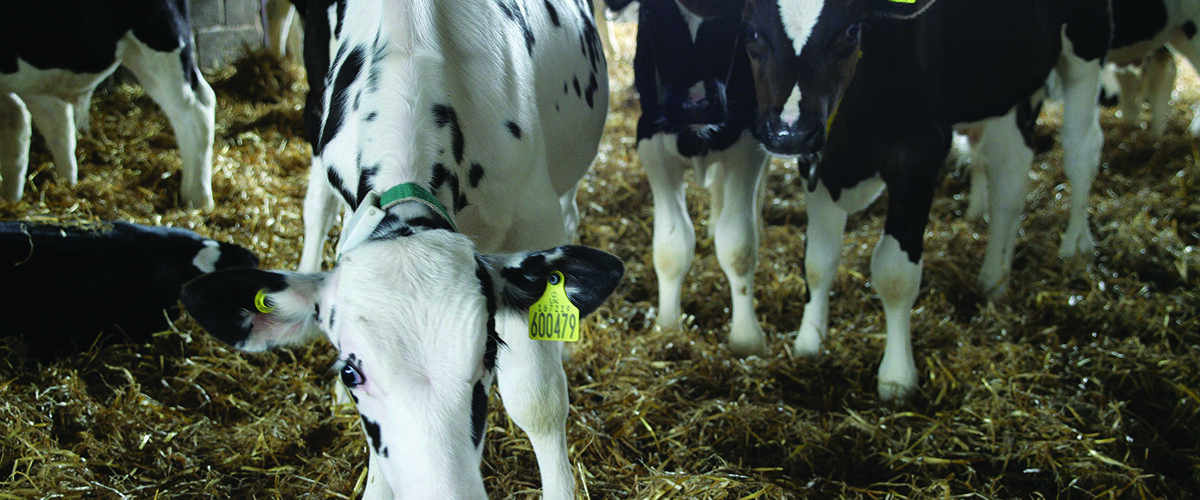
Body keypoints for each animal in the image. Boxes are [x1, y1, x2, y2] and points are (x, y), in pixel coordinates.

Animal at [0, 1, 217, 209]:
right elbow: (15, 128)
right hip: (139, 55)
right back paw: (65, 185)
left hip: (162, 38)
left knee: (195, 108)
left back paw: (197, 198)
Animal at [628, 0, 769, 356]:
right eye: (650, 14)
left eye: (735, 18)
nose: (696, 105)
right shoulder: (650, 137)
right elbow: (671, 247)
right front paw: (667, 326)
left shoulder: (749, 139)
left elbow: (738, 244)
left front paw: (746, 337)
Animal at [742, 0, 1110, 401]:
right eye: (752, 31)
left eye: (851, 30)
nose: (788, 132)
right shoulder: (822, 159)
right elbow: (817, 261)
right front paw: (809, 344)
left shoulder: (920, 153)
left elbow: (894, 272)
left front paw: (897, 378)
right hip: (1008, 84)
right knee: (1010, 178)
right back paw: (994, 279)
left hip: (1085, 44)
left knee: (1081, 147)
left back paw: (1077, 246)